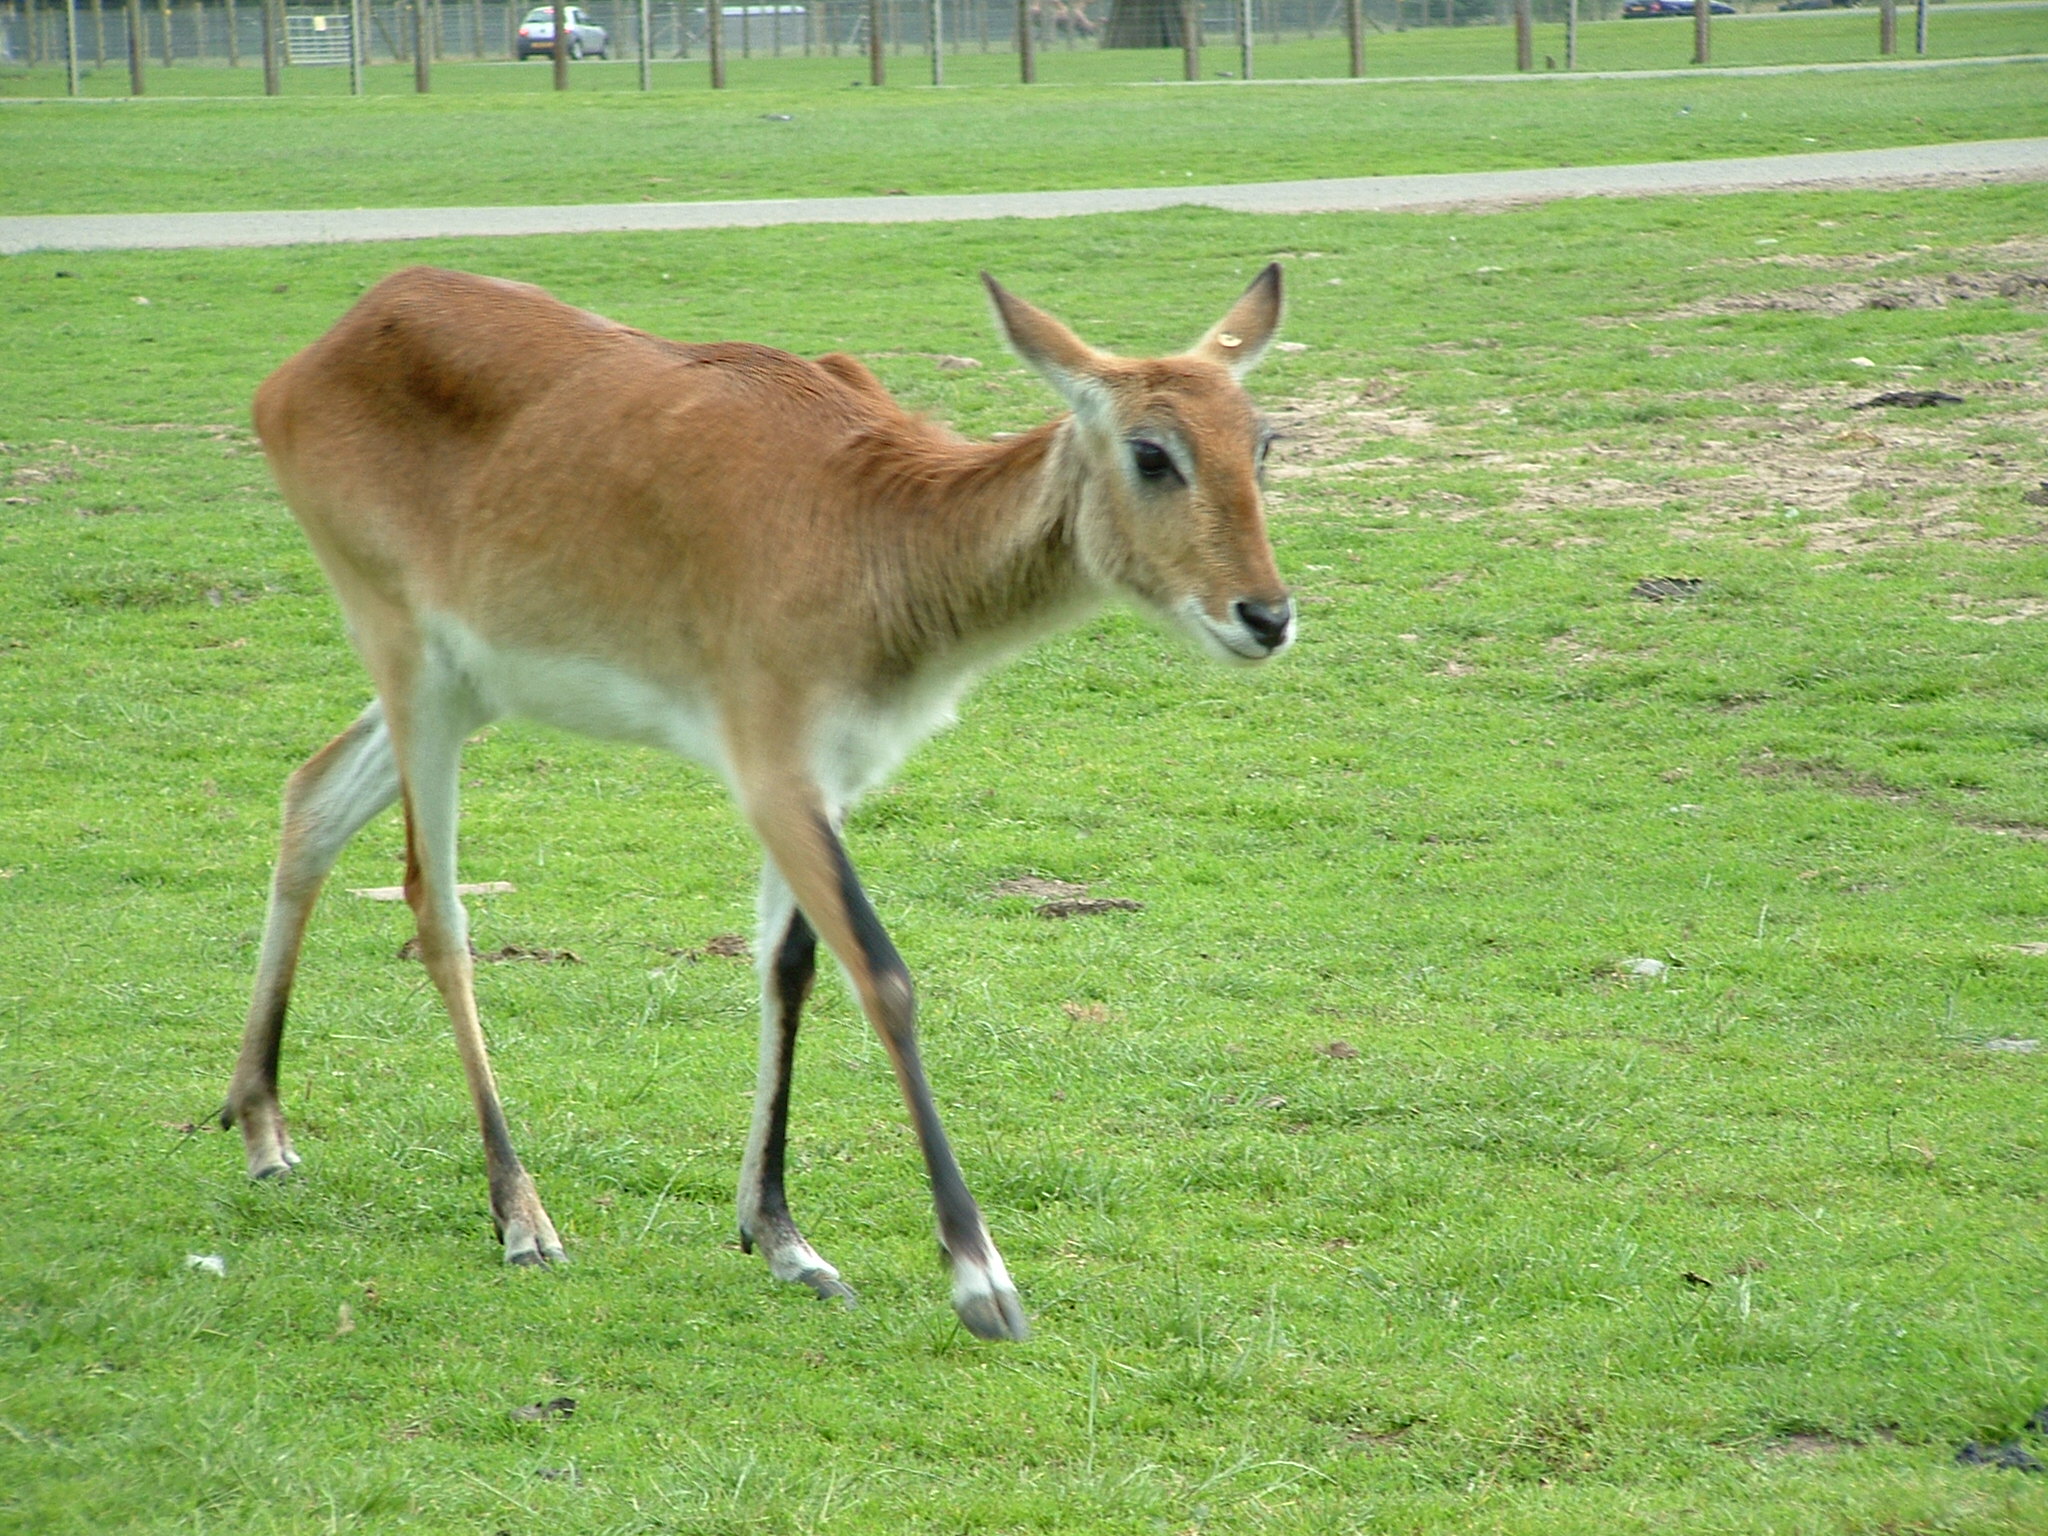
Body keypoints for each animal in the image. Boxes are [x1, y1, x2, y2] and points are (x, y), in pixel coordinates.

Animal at [224, 259, 1294, 1343]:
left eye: (1261, 441)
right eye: (1152, 452)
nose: (1265, 615)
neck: (875, 527)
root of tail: (328, 342)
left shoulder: (835, 778)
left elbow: (789, 968)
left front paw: (783, 1240)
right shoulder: (770, 771)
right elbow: (882, 976)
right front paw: (980, 1280)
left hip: (471, 686)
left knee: (311, 796)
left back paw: (264, 1130)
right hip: (412, 663)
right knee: (435, 908)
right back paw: (521, 1218)